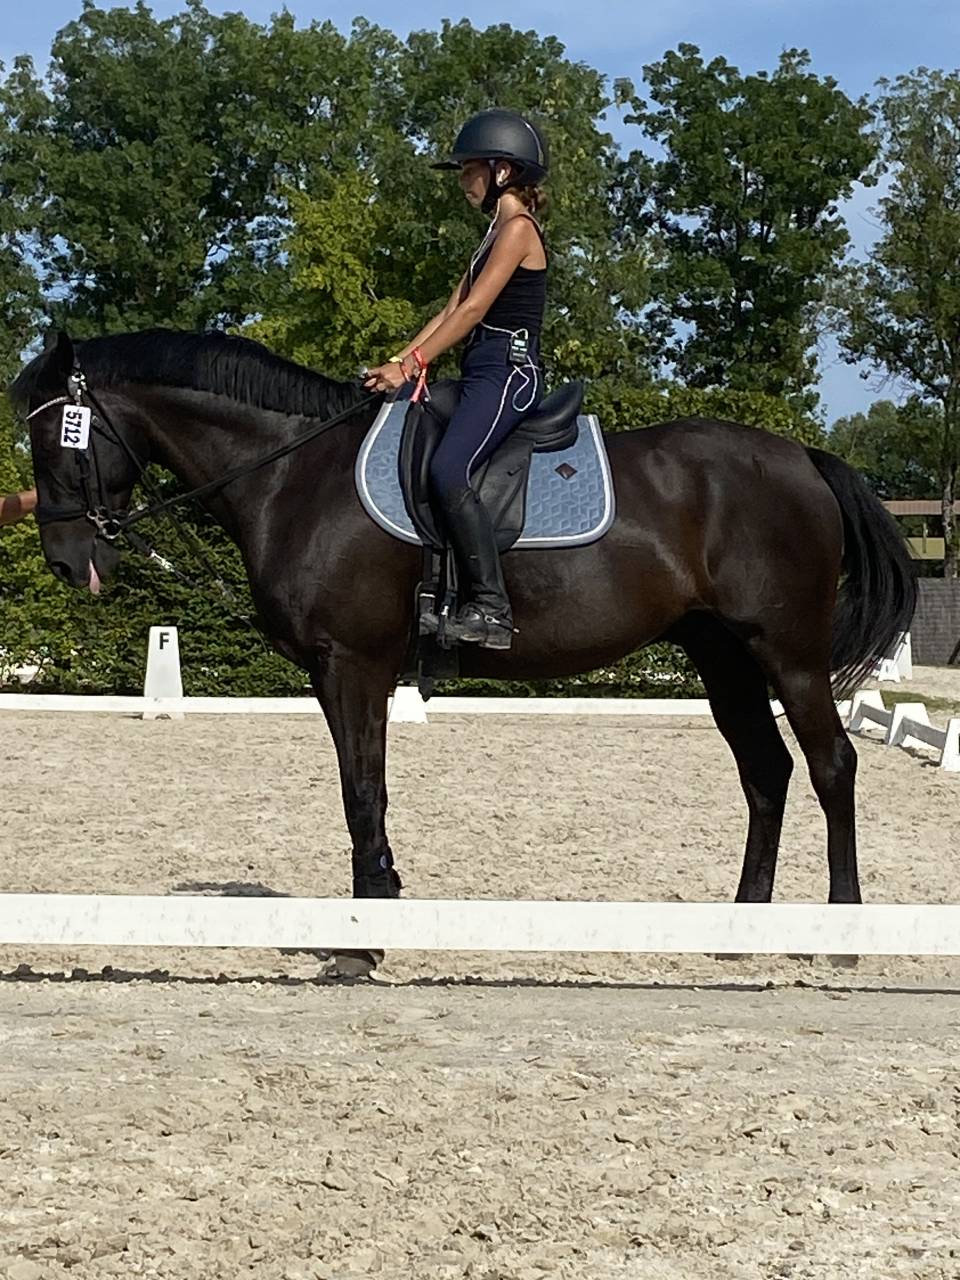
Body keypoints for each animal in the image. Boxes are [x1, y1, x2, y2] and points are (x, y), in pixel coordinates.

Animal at [13, 328, 915, 928]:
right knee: (767, 772)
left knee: (831, 765)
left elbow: (363, 793)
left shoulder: (353, 664)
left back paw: (842, 929)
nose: (64, 557)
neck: (295, 471)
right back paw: (744, 926)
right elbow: (363, 790)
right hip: (722, 654)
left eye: (55, 437)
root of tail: (803, 458)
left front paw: (365, 937)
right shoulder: (336, 673)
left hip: (787, 653)